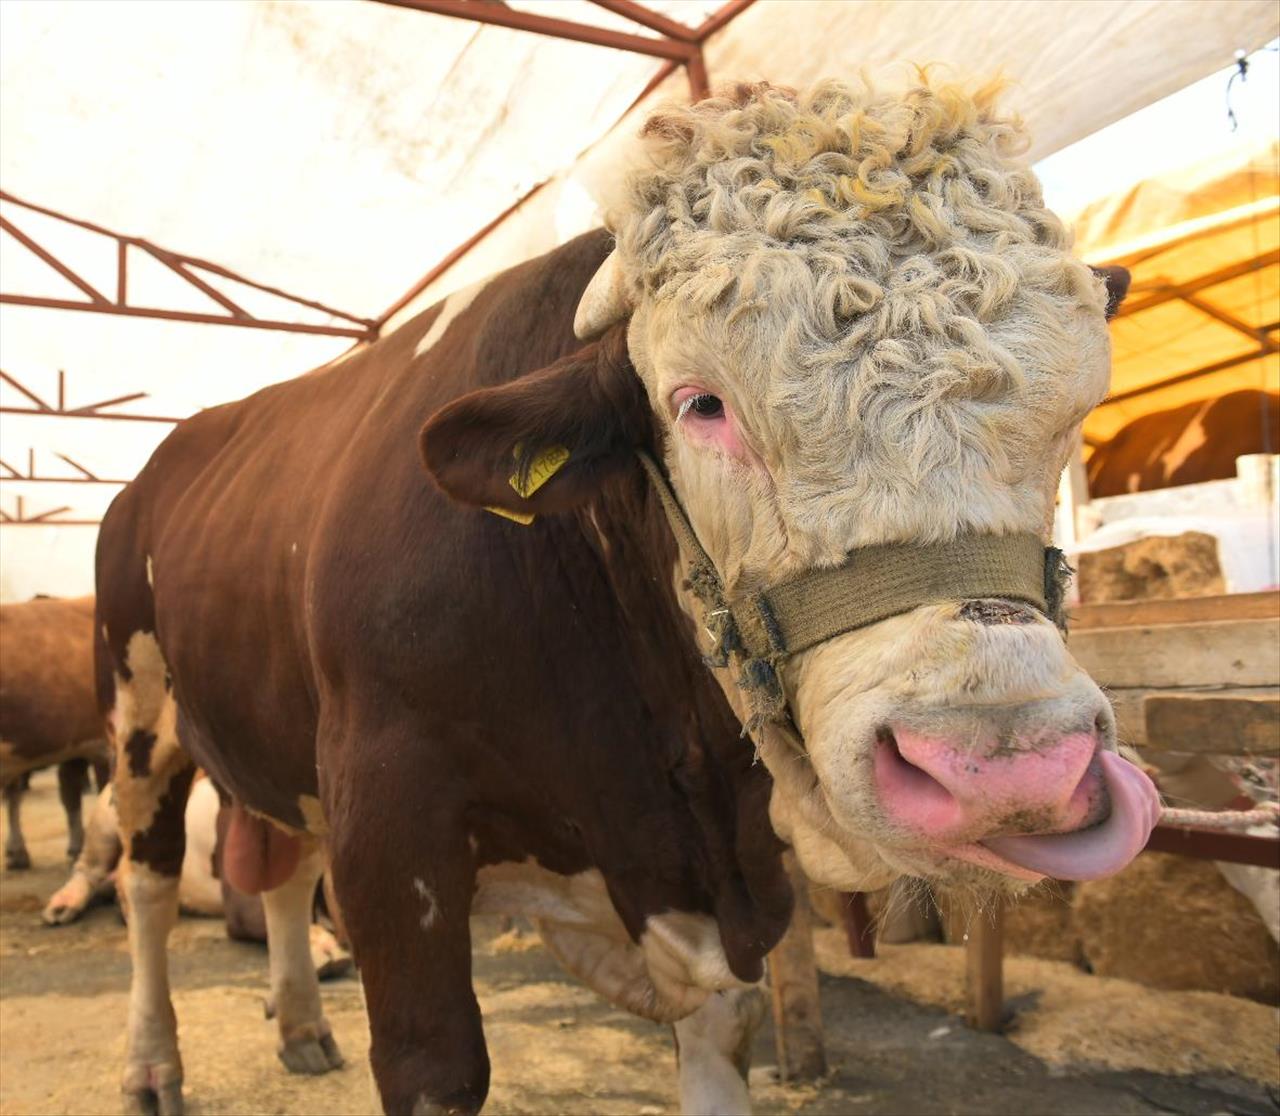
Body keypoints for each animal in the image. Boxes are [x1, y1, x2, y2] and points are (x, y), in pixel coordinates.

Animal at [92, 80, 1152, 1116]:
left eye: (1079, 411)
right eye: (700, 403)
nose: (1005, 765)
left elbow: (721, 1034)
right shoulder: (386, 811)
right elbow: (433, 1062)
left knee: (277, 868)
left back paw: (302, 1024)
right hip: (138, 712)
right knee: (147, 881)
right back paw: (151, 1063)